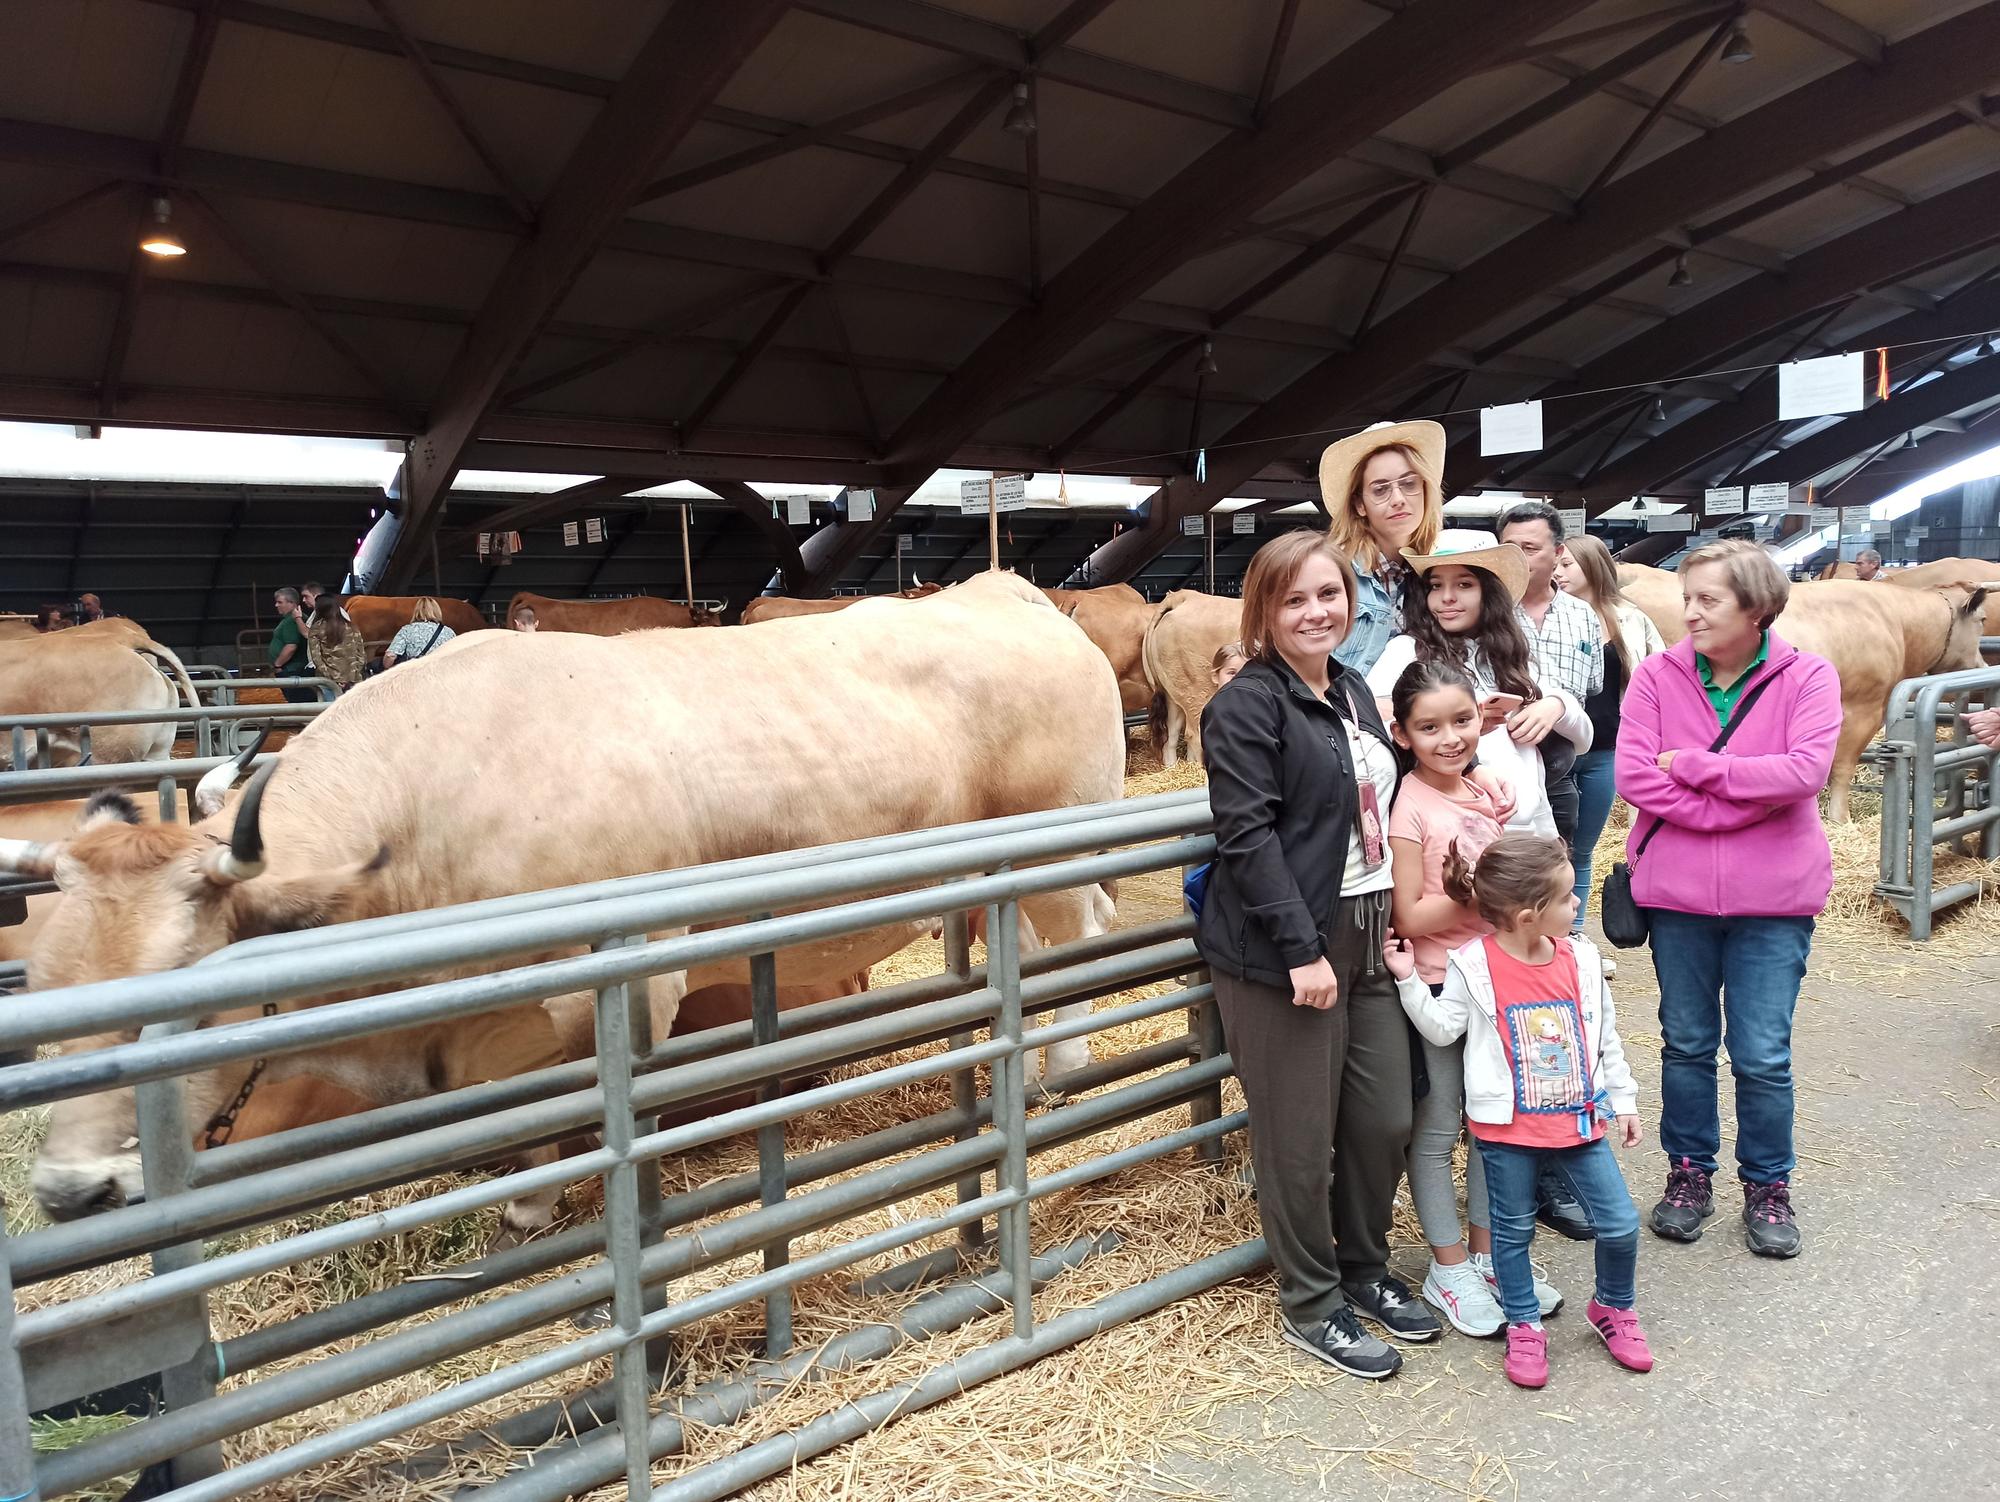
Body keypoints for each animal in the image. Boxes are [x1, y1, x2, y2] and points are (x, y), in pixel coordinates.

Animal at [3, 568, 1128, 1240]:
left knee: (1081, 944)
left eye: (184, 1006)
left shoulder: (632, 978)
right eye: (43, 994)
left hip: (1060, 847)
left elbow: (599, 1108)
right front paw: (526, 1201)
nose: (70, 1193)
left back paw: (1058, 1071)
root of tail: (1004, 587)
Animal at [1616, 564, 1992, 824]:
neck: (1894, 622)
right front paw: (1840, 819)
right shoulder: (1864, 706)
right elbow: (1841, 766)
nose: (1981, 665)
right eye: (1982, 620)